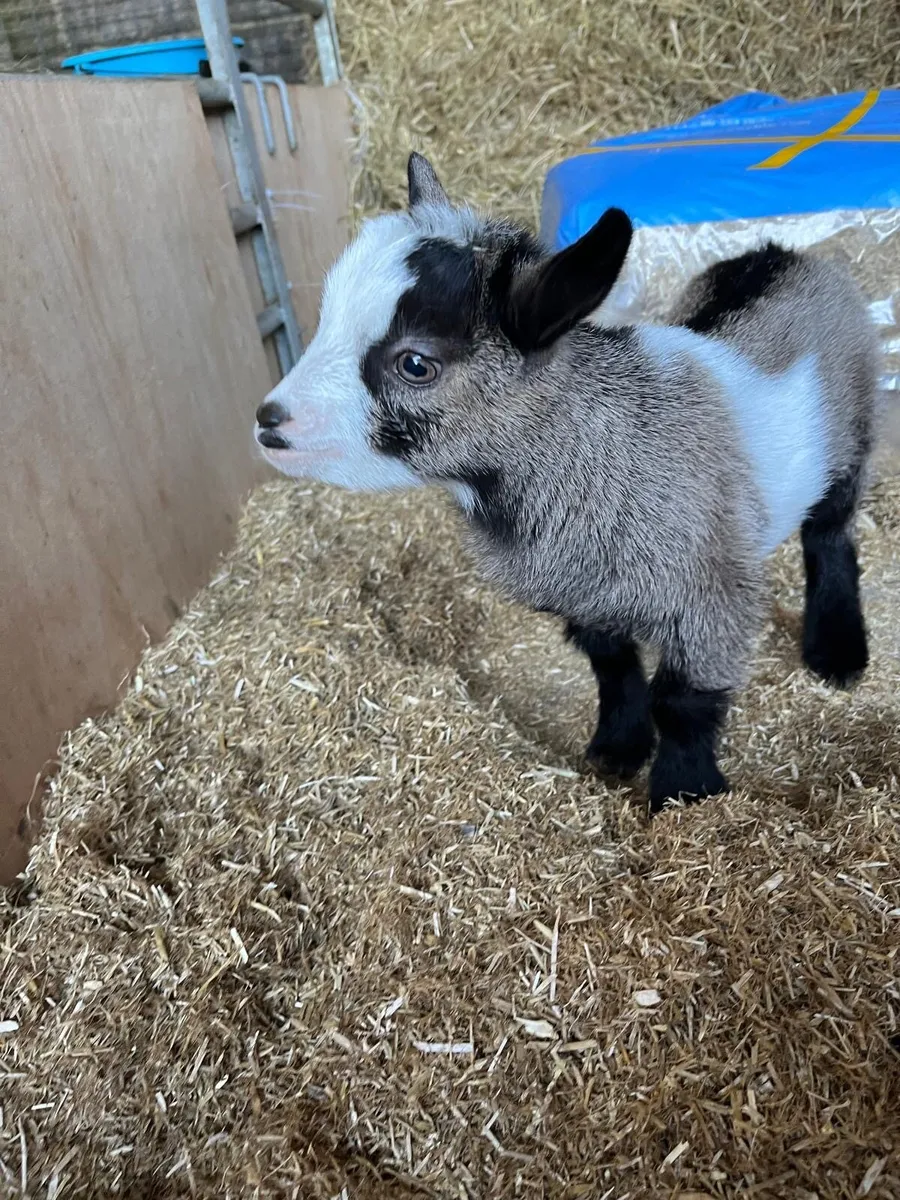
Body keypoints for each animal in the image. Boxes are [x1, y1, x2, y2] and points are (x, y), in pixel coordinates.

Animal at [255, 153, 878, 813]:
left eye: (415, 364)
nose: (269, 422)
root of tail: (784, 253)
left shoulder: (709, 597)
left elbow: (683, 702)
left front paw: (684, 795)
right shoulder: (585, 594)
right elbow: (614, 668)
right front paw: (618, 748)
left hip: (853, 437)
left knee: (830, 537)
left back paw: (837, 651)